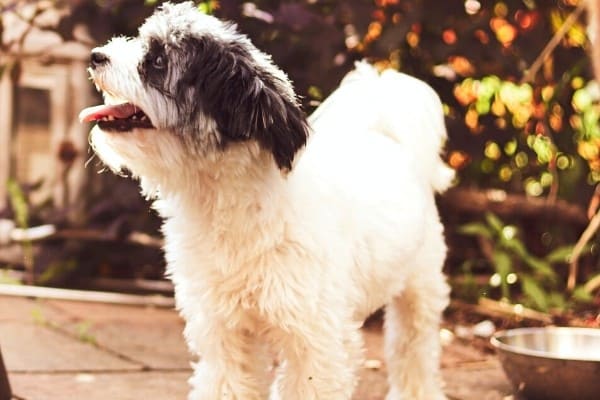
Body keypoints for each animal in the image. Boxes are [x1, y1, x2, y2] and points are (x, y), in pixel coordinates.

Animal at [81, 1, 454, 398]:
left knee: (413, 348)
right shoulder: (224, 331)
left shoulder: (316, 342)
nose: (96, 55)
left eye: (157, 60)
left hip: (420, 286)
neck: (230, 203)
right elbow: (227, 382)